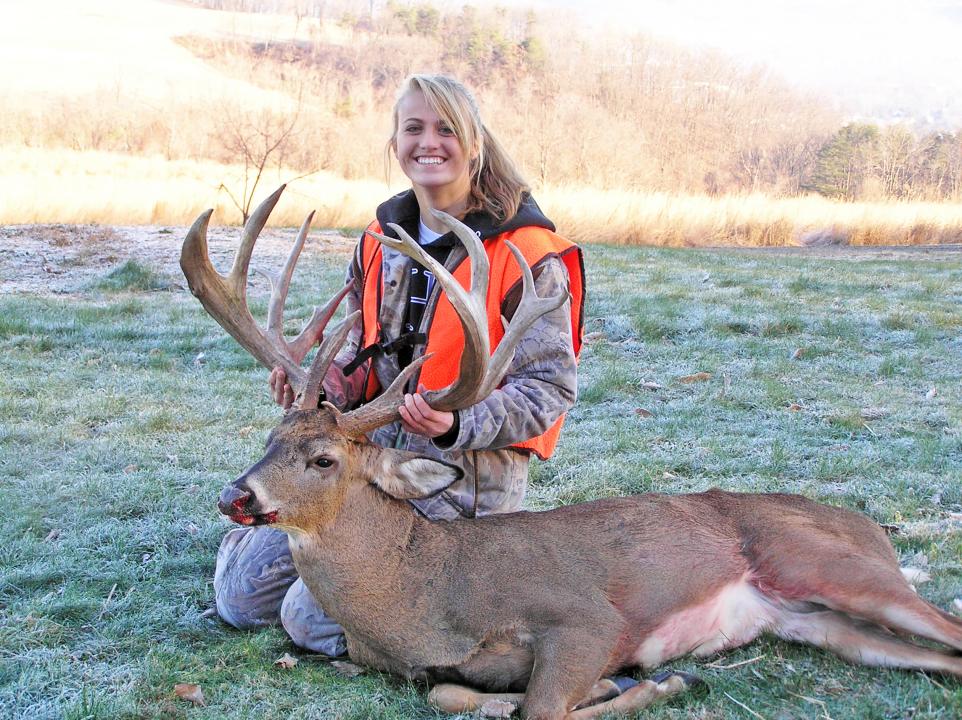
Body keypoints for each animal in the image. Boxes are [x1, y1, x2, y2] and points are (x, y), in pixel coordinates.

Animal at [181, 186, 962, 720]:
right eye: (268, 441)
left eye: (324, 459)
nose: (235, 496)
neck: (425, 599)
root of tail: (872, 529)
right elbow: (452, 696)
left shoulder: (588, 618)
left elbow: (543, 706)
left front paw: (655, 680)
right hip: (819, 620)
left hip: (829, 565)